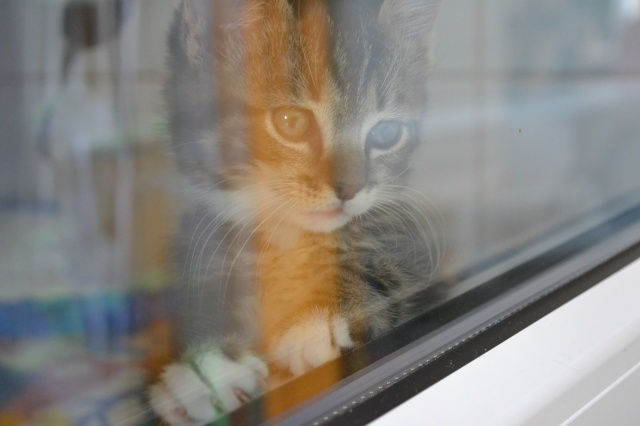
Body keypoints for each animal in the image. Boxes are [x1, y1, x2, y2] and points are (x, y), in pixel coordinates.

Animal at [150, 0, 441, 424]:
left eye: (385, 134)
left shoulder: (411, 244)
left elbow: (392, 273)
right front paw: (205, 368)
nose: (350, 188)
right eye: (292, 122)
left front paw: (320, 318)